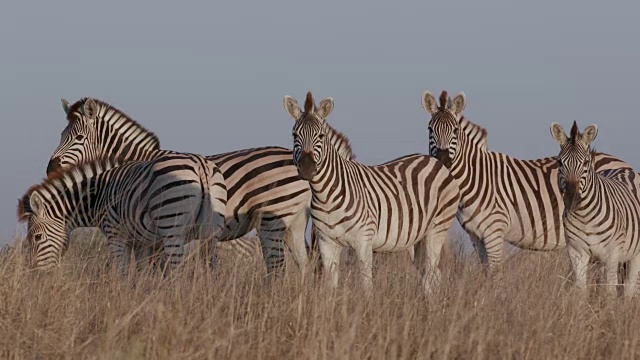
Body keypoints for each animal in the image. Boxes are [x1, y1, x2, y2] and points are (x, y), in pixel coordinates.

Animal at [16, 153, 228, 272]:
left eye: (36, 237)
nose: (35, 274)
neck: (97, 195)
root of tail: (200, 164)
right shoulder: (142, 242)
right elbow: (142, 274)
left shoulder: (115, 235)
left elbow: (122, 272)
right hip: (212, 232)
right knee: (213, 268)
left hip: (172, 228)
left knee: (177, 270)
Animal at [47, 97, 312, 274]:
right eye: (61, 135)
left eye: (78, 138)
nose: (50, 169)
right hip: (293, 223)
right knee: (303, 265)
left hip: (273, 218)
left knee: (278, 267)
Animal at [284, 91, 460, 294]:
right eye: (294, 135)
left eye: (320, 136)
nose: (306, 168)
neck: (326, 195)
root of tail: (436, 162)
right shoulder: (327, 243)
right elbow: (331, 285)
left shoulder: (363, 242)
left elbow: (366, 285)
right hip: (416, 239)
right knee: (433, 274)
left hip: (436, 229)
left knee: (431, 272)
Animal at [422, 90, 636, 276]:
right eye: (430, 129)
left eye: (455, 131)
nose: (443, 161)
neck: (476, 177)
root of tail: (624, 163)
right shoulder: (476, 236)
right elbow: (485, 271)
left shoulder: (494, 231)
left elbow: (494, 273)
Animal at [548, 122, 640, 296]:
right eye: (560, 163)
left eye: (585, 163)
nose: (572, 199)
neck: (585, 217)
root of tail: (627, 170)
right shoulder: (576, 252)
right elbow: (581, 289)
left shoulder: (613, 253)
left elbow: (610, 291)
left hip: (634, 255)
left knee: (629, 289)